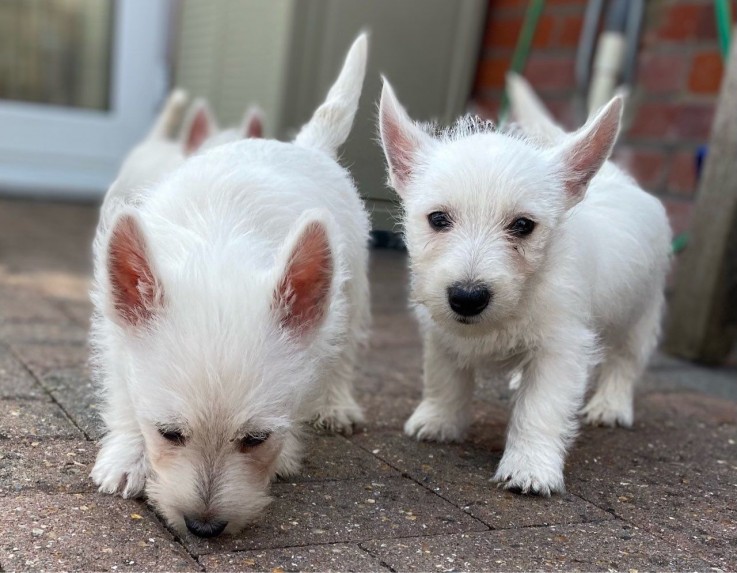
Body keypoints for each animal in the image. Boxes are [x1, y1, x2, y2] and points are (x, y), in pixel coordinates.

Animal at [90, 33, 370, 536]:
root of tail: (306, 146)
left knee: (344, 351)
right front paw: (126, 456)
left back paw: (338, 404)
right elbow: (123, 390)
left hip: (352, 288)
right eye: (169, 433)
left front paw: (286, 454)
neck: (219, 247)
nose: (203, 527)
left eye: (256, 438)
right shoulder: (117, 329)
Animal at [376, 76, 668, 494]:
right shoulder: (440, 332)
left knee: (625, 361)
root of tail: (616, 176)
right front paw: (439, 420)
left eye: (523, 226)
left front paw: (530, 467)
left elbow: (541, 407)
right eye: (438, 219)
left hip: (641, 313)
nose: (467, 298)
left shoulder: (561, 349)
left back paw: (611, 405)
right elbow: (444, 378)